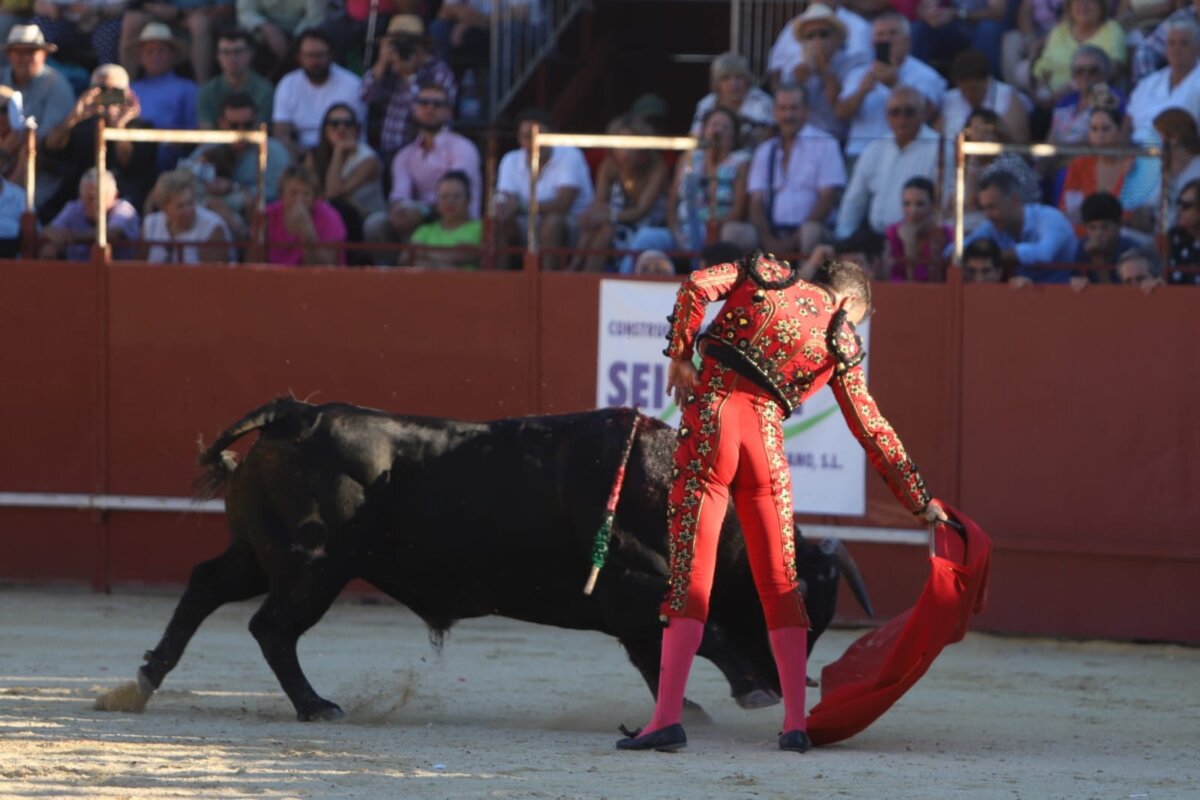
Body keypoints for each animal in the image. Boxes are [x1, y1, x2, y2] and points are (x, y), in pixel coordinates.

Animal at [96, 398, 872, 721]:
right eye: (805, 612)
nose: (794, 680)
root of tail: (297, 413)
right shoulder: (631, 591)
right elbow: (700, 633)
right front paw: (748, 690)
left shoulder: (630, 615)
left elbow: (664, 657)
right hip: (314, 564)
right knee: (271, 628)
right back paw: (316, 706)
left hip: (265, 555)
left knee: (206, 585)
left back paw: (142, 681)